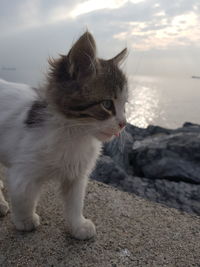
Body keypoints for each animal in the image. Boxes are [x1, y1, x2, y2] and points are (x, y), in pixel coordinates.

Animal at [0, 31, 128, 241]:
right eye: (107, 104)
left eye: (125, 105)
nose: (123, 123)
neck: (75, 134)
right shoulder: (24, 173)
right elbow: (24, 198)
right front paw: (25, 221)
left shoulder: (77, 174)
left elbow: (75, 203)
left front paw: (78, 226)